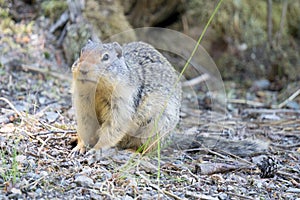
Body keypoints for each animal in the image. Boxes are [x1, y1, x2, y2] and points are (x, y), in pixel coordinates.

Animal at [71, 40, 268, 156]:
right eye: (81, 51)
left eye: (106, 57)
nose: (83, 69)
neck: (97, 90)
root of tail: (172, 135)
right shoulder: (82, 103)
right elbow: (85, 125)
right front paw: (80, 147)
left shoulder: (123, 103)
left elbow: (113, 127)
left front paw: (96, 149)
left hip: (157, 126)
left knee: (149, 148)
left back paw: (133, 152)